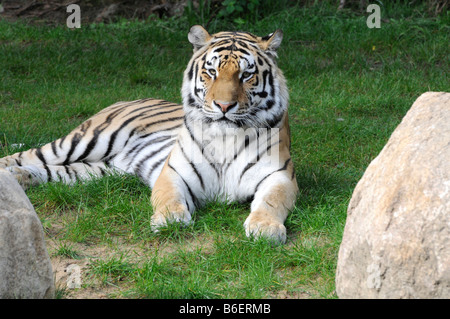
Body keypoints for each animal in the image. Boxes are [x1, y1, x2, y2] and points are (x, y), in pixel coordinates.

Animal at [1, 25, 300, 245]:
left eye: (246, 74)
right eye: (211, 72)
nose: (224, 106)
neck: (225, 139)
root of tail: (126, 99)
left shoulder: (279, 176)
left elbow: (271, 201)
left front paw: (265, 228)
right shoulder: (173, 172)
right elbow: (170, 198)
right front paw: (169, 220)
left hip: (99, 170)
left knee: (54, 171)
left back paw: (20, 177)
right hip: (82, 141)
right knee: (26, 155)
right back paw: (10, 175)